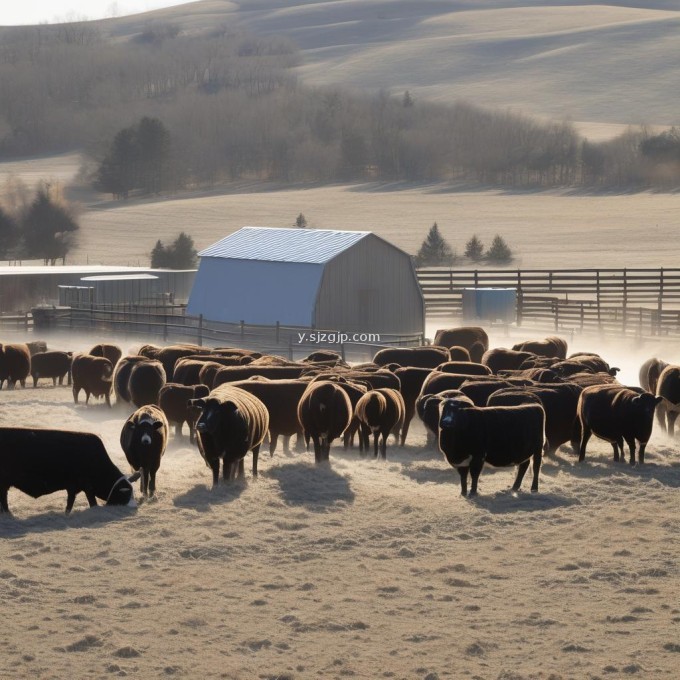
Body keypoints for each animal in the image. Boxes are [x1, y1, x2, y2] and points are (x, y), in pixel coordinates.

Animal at [0, 428, 138, 512]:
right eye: (126, 494)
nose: (134, 507)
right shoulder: (86, 486)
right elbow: (90, 502)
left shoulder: (74, 487)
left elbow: (70, 503)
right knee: (4, 500)